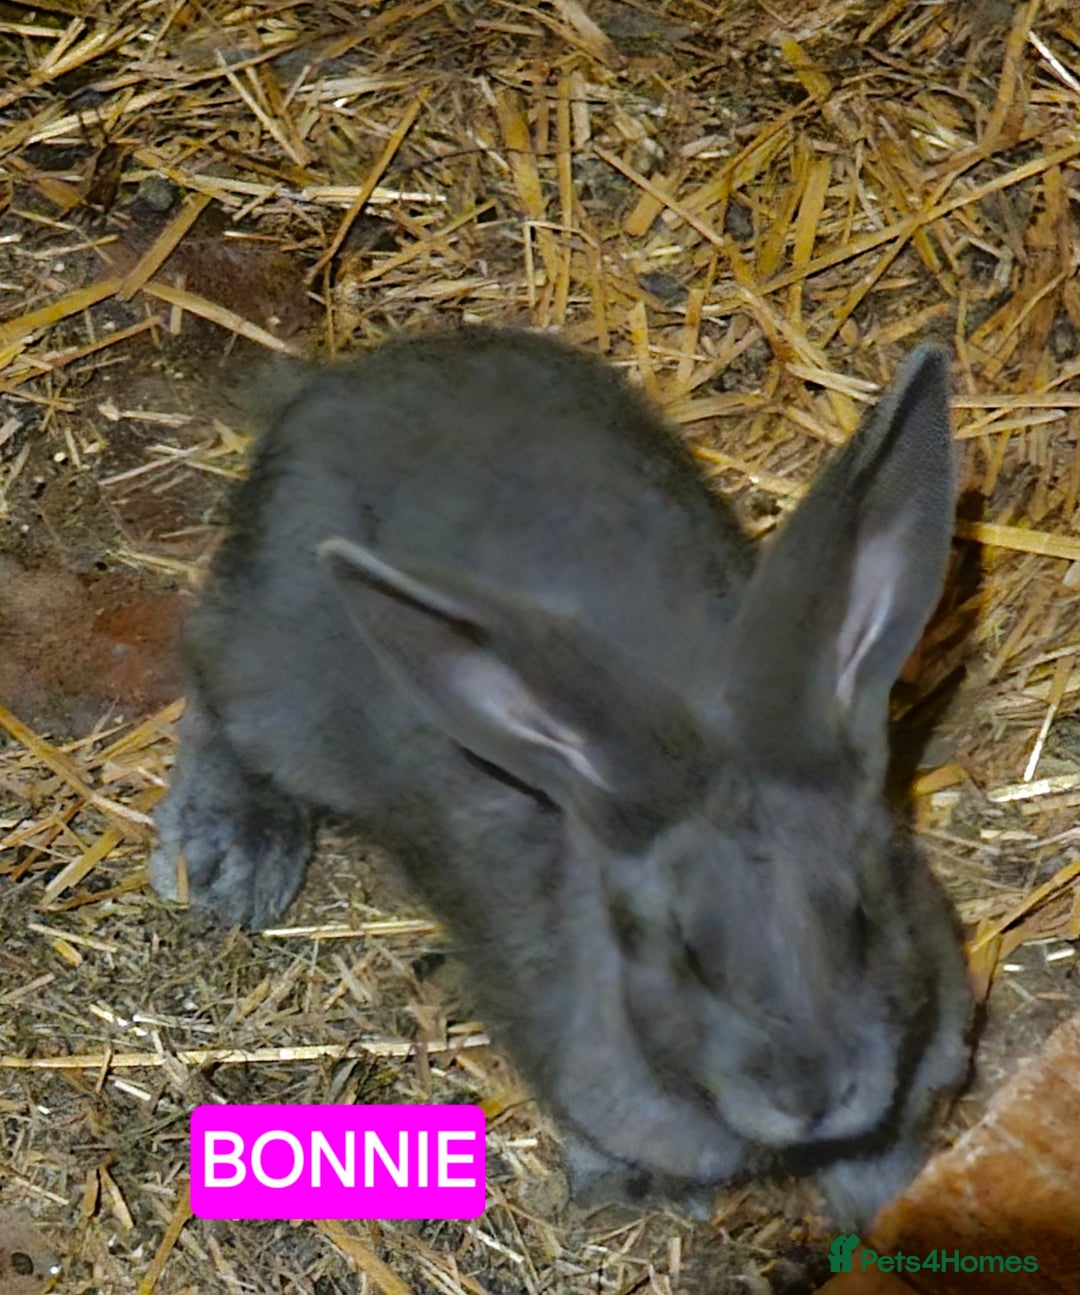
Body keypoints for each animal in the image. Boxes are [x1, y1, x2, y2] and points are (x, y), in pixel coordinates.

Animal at [150, 328, 972, 1227]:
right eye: (687, 954)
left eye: (862, 916)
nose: (813, 1094)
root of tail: (320, 391)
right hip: (277, 692)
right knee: (209, 680)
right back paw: (229, 858)